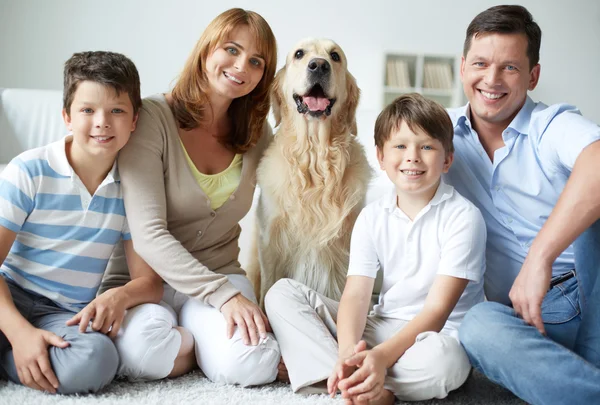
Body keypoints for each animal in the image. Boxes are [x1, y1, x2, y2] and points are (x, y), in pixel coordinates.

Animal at [247, 38, 370, 304]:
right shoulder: (270, 242)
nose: (319, 65)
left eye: (335, 56)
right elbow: (268, 288)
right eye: (299, 54)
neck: (315, 158)